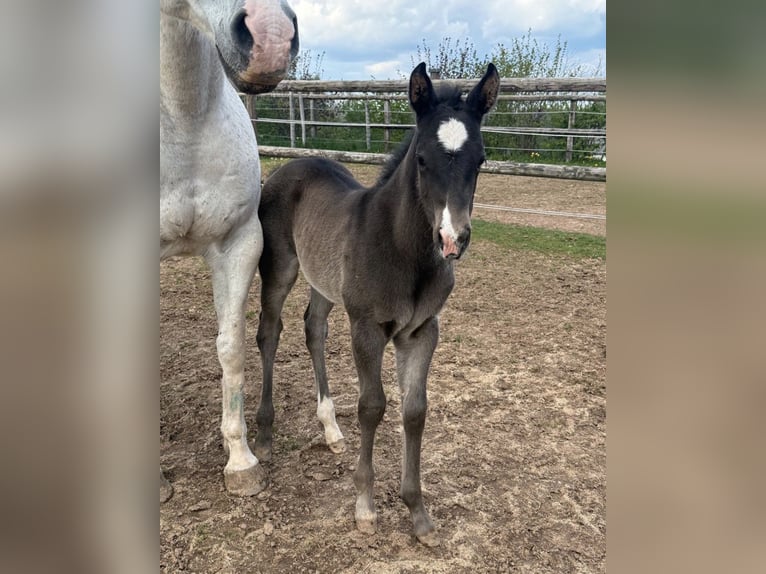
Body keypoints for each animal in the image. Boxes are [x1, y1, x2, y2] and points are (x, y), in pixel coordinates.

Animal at [255, 62, 500, 545]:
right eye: (421, 158)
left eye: (480, 160)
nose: (452, 239)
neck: (403, 250)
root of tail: (290, 164)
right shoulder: (366, 328)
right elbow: (373, 406)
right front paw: (365, 506)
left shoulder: (421, 331)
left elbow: (414, 410)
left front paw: (418, 513)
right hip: (279, 271)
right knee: (269, 333)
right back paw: (266, 434)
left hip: (324, 283)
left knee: (313, 329)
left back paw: (331, 429)